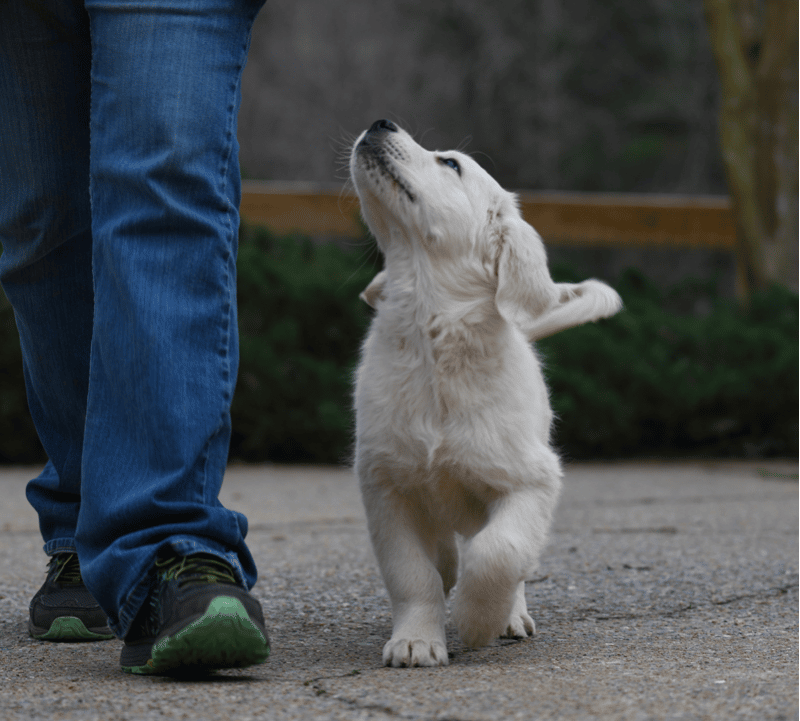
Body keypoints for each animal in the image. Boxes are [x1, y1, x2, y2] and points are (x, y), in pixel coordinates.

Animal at [348, 118, 620, 664]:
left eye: (450, 163)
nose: (380, 122)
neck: (431, 335)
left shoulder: (531, 479)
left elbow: (501, 551)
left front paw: (477, 621)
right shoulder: (384, 484)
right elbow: (411, 573)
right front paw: (416, 639)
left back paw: (509, 614)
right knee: (444, 553)